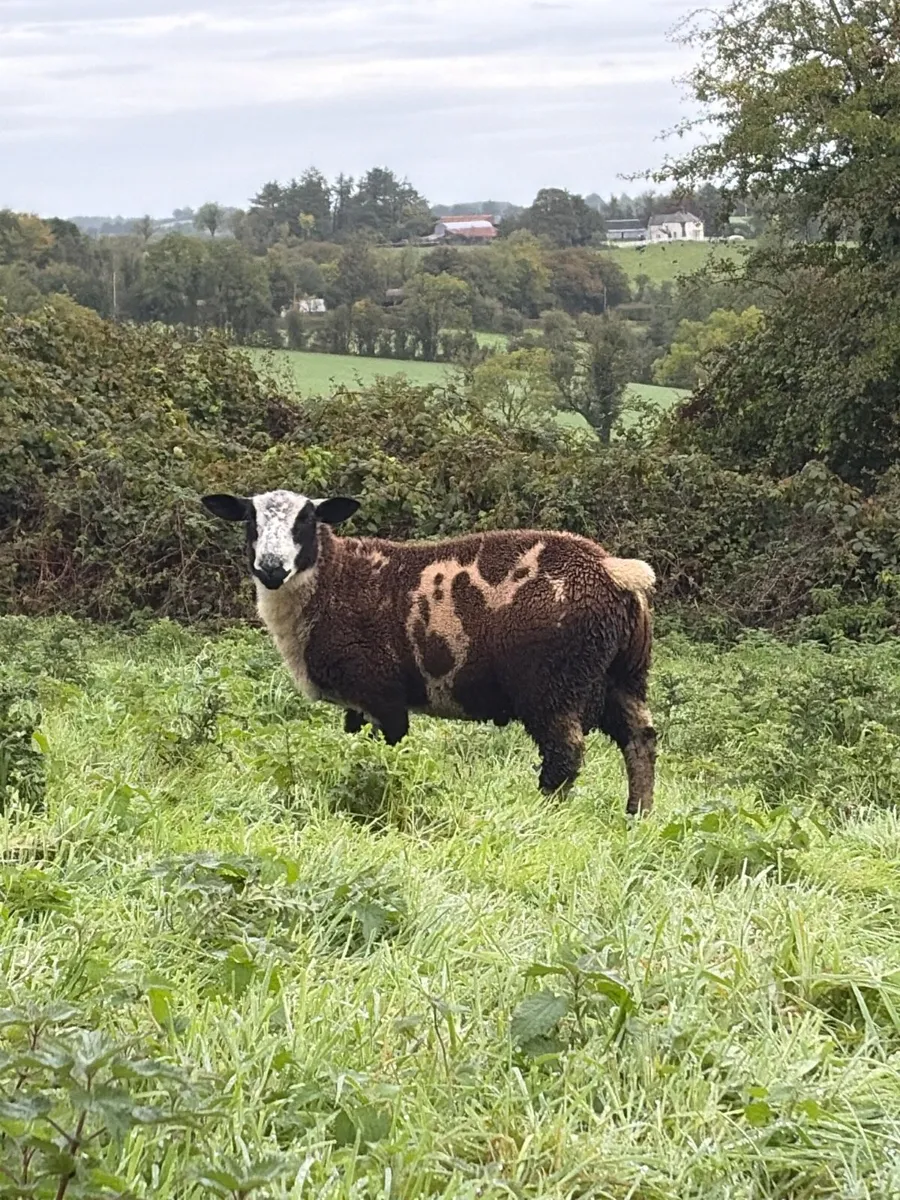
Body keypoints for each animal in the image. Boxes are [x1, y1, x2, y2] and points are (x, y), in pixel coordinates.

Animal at [201, 489, 657, 813]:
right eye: (251, 520)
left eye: (306, 520)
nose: (271, 568)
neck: (332, 580)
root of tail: (613, 571)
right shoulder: (358, 701)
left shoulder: (381, 691)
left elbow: (390, 748)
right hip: (623, 675)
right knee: (641, 740)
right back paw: (638, 814)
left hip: (554, 681)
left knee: (565, 753)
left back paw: (545, 811)